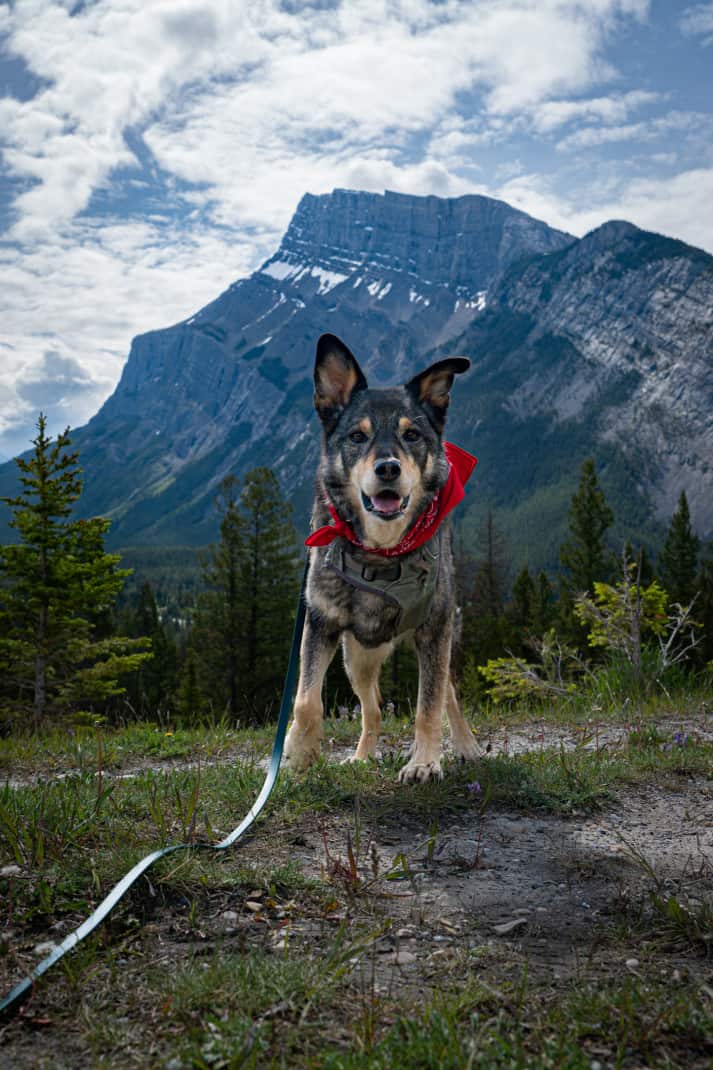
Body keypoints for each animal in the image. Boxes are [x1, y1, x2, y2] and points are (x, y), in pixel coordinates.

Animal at [280, 333, 475, 787]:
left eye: (412, 435)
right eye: (356, 436)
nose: (388, 468)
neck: (381, 550)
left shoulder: (434, 629)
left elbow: (428, 706)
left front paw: (425, 762)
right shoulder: (320, 622)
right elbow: (305, 699)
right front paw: (298, 754)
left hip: (440, 640)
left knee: (449, 694)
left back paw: (466, 746)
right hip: (358, 659)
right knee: (373, 709)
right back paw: (362, 755)